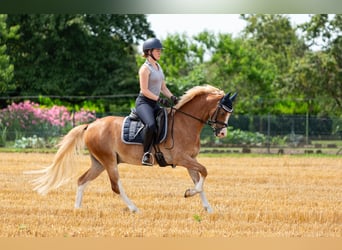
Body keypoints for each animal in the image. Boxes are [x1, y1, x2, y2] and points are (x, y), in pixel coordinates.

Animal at [29, 85, 236, 212]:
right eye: (223, 111)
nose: (222, 133)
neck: (186, 123)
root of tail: (91, 125)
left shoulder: (190, 160)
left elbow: (199, 180)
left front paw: (207, 208)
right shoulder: (182, 158)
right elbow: (205, 172)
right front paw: (189, 193)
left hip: (99, 162)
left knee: (82, 180)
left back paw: (77, 209)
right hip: (108, 161)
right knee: (115, 185)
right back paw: (134, 208)